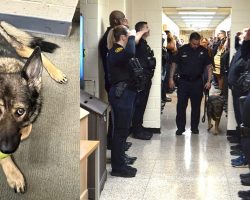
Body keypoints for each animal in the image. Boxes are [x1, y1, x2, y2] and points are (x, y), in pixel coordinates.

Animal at [0, 21, 67, 194]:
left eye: (20, 111)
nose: (6, 149)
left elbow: (27, 129)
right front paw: (14, 174)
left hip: (14, 46)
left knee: (32, 51)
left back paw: (56, 72)